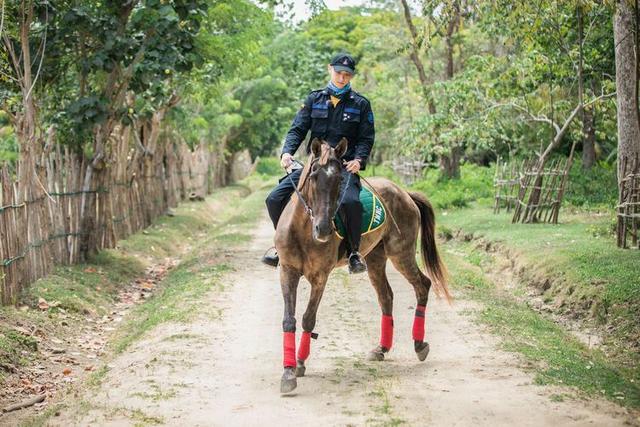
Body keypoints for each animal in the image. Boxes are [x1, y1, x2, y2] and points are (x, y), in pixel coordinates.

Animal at [276, 138, 450, 394]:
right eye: (314, 175)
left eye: (340, 179)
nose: (324, 230)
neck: (303, 230)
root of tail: (404, 192)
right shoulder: (287, 271)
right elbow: (289, 320)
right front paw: (288, 372)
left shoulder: (320, 277)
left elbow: (308, 318)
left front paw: (299, 362)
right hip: (376, 258)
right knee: (386, 296)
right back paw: (381, 349)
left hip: (401, 254)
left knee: (422, 285)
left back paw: (419, 345)